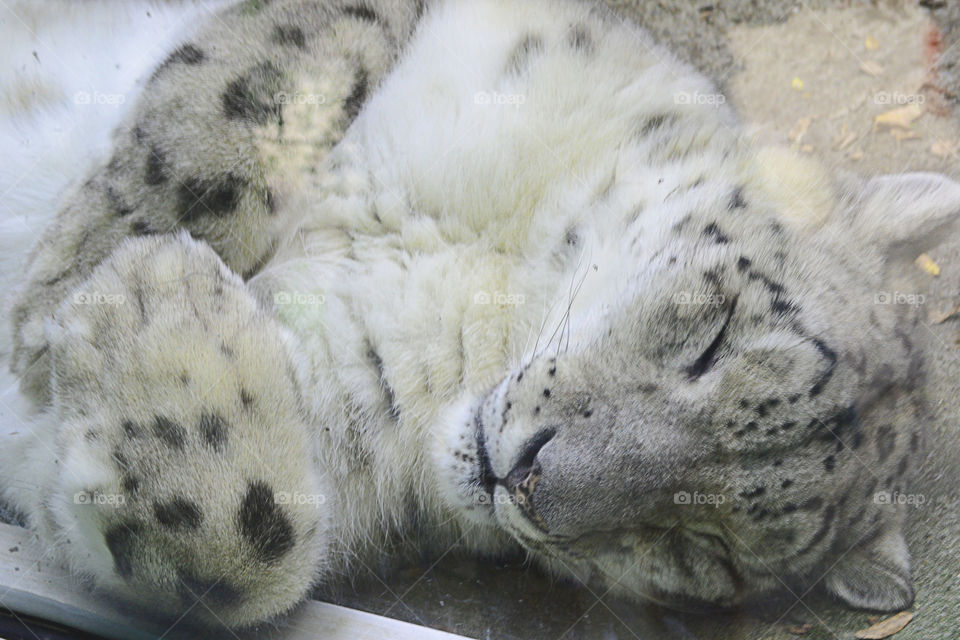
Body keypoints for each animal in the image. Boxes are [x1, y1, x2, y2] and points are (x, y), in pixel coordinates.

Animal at [1, 0, 952, 631]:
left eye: (705, 549)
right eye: (713, 338)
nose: (525, 479)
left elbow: (242, 548)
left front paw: (153, 308)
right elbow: (284, 64)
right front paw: (83, 275)